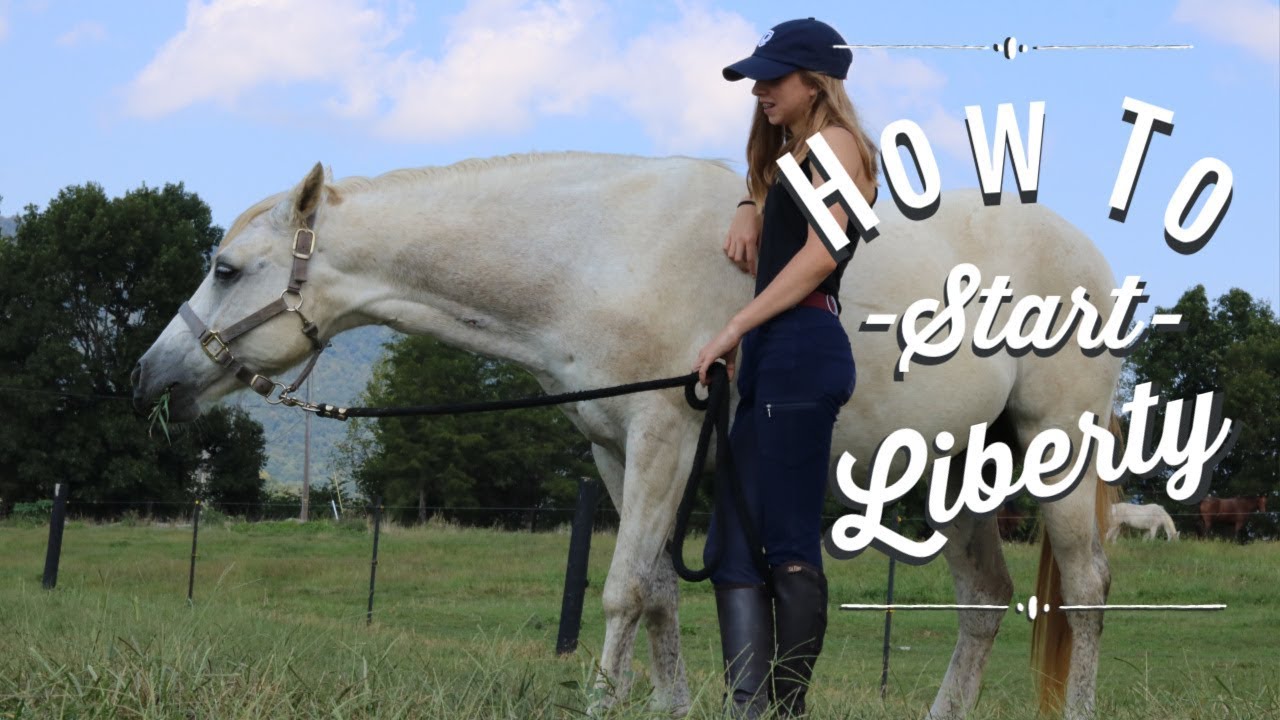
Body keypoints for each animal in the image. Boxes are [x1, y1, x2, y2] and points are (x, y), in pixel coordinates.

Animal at [132, 153, 1124, 720]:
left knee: (1082, 593)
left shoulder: (663, 436)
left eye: (227, 268)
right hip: (952, 471)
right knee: (985, 600)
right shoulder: (616, 450)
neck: (597, 252)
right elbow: (655, 596)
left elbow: (616, 593)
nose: (149, 376)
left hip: (1058, 455)